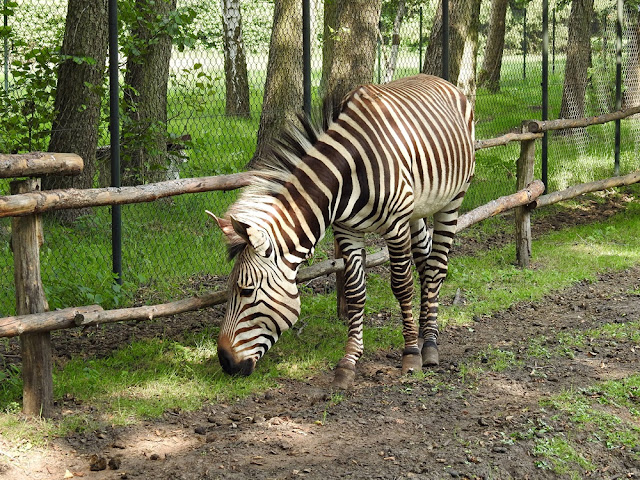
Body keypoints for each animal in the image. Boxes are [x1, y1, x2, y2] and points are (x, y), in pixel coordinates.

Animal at [210, 75, 476, 390]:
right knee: (424, 263)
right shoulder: (347, 230)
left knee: (436, 267)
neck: (348, 173)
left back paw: (430, 346)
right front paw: (349, 362)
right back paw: (424, 334)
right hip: (418, 208)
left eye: (246, 290)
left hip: (453, 198)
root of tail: (440, 80)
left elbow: (401, 286)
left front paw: (410, 354)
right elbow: (355, 292)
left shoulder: (396, 226)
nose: (225, 363)